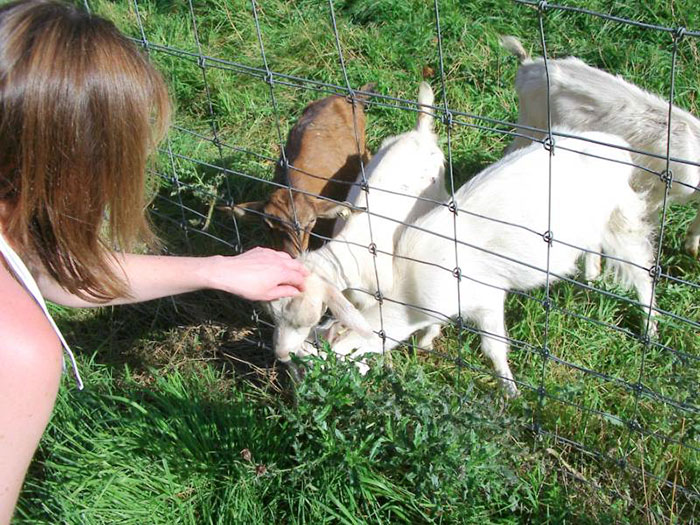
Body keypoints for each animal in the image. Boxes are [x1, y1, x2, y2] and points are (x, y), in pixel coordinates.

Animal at [325, 133, 656, 397]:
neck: (409, 296)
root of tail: (617, 147)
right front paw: (426, 342)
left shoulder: (487, 298)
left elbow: (493, 348)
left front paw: (510, 390)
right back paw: (591, 278)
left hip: (618, 216)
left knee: (641, 270)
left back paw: (650, 330)